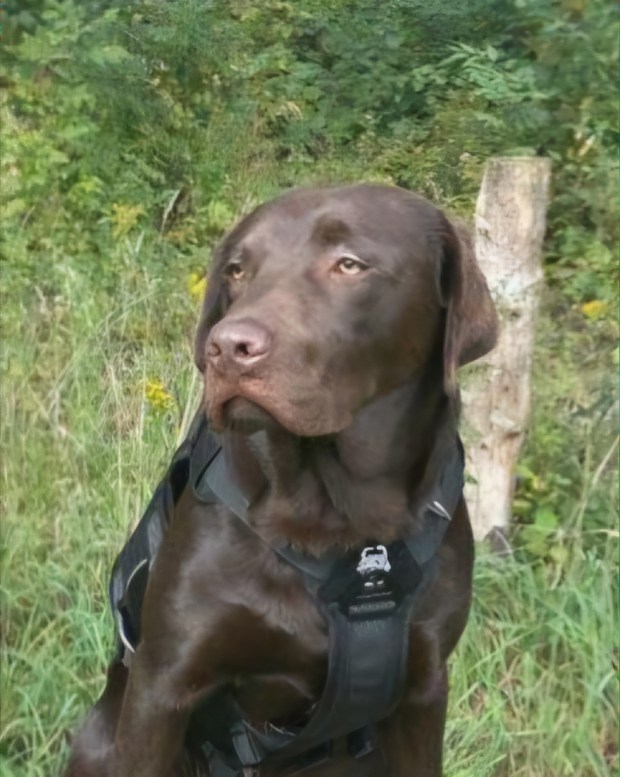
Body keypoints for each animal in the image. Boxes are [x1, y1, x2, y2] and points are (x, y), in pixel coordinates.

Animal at [65, 186, 496, 776]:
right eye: (237, 271)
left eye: (349, 264)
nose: (227, 348)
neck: (337, 518)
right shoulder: (162, 686)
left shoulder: (423, 690)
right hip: (97, 738)